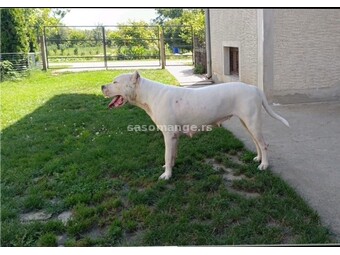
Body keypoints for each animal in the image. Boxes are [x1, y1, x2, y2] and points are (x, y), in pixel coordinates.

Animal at [101, 70, 290, 180]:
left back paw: (264, 165)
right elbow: (172, 155)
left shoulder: (168, 135)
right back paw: (258, 158)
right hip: (248, 123)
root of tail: (253, 88)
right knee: (257, 143)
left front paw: (166, 175)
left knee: (263, 144)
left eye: (115, 82)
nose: (102, 86)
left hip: (252, 122)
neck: (147, 95)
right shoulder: (174, 136)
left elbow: (166, 155)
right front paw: (171, 167)